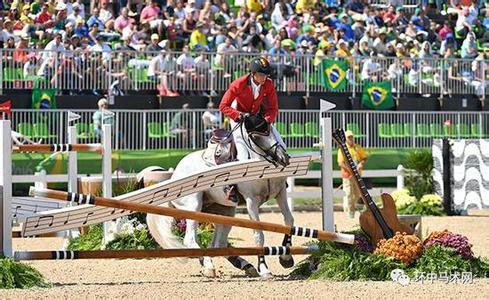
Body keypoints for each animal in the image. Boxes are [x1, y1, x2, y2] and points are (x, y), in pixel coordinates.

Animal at [146, 119, 294, 278]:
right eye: (256, 136)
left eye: (271, 130)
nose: (284, 158)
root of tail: (174, 176)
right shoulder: (251, 201)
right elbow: (258, 234)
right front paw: (264, 269)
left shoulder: (280, 193)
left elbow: (289, 221)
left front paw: (286, 258)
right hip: (193, 205)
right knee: (190, 240)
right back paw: (208, 265)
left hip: (225, 210)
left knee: (218, 244)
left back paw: (242, 265)